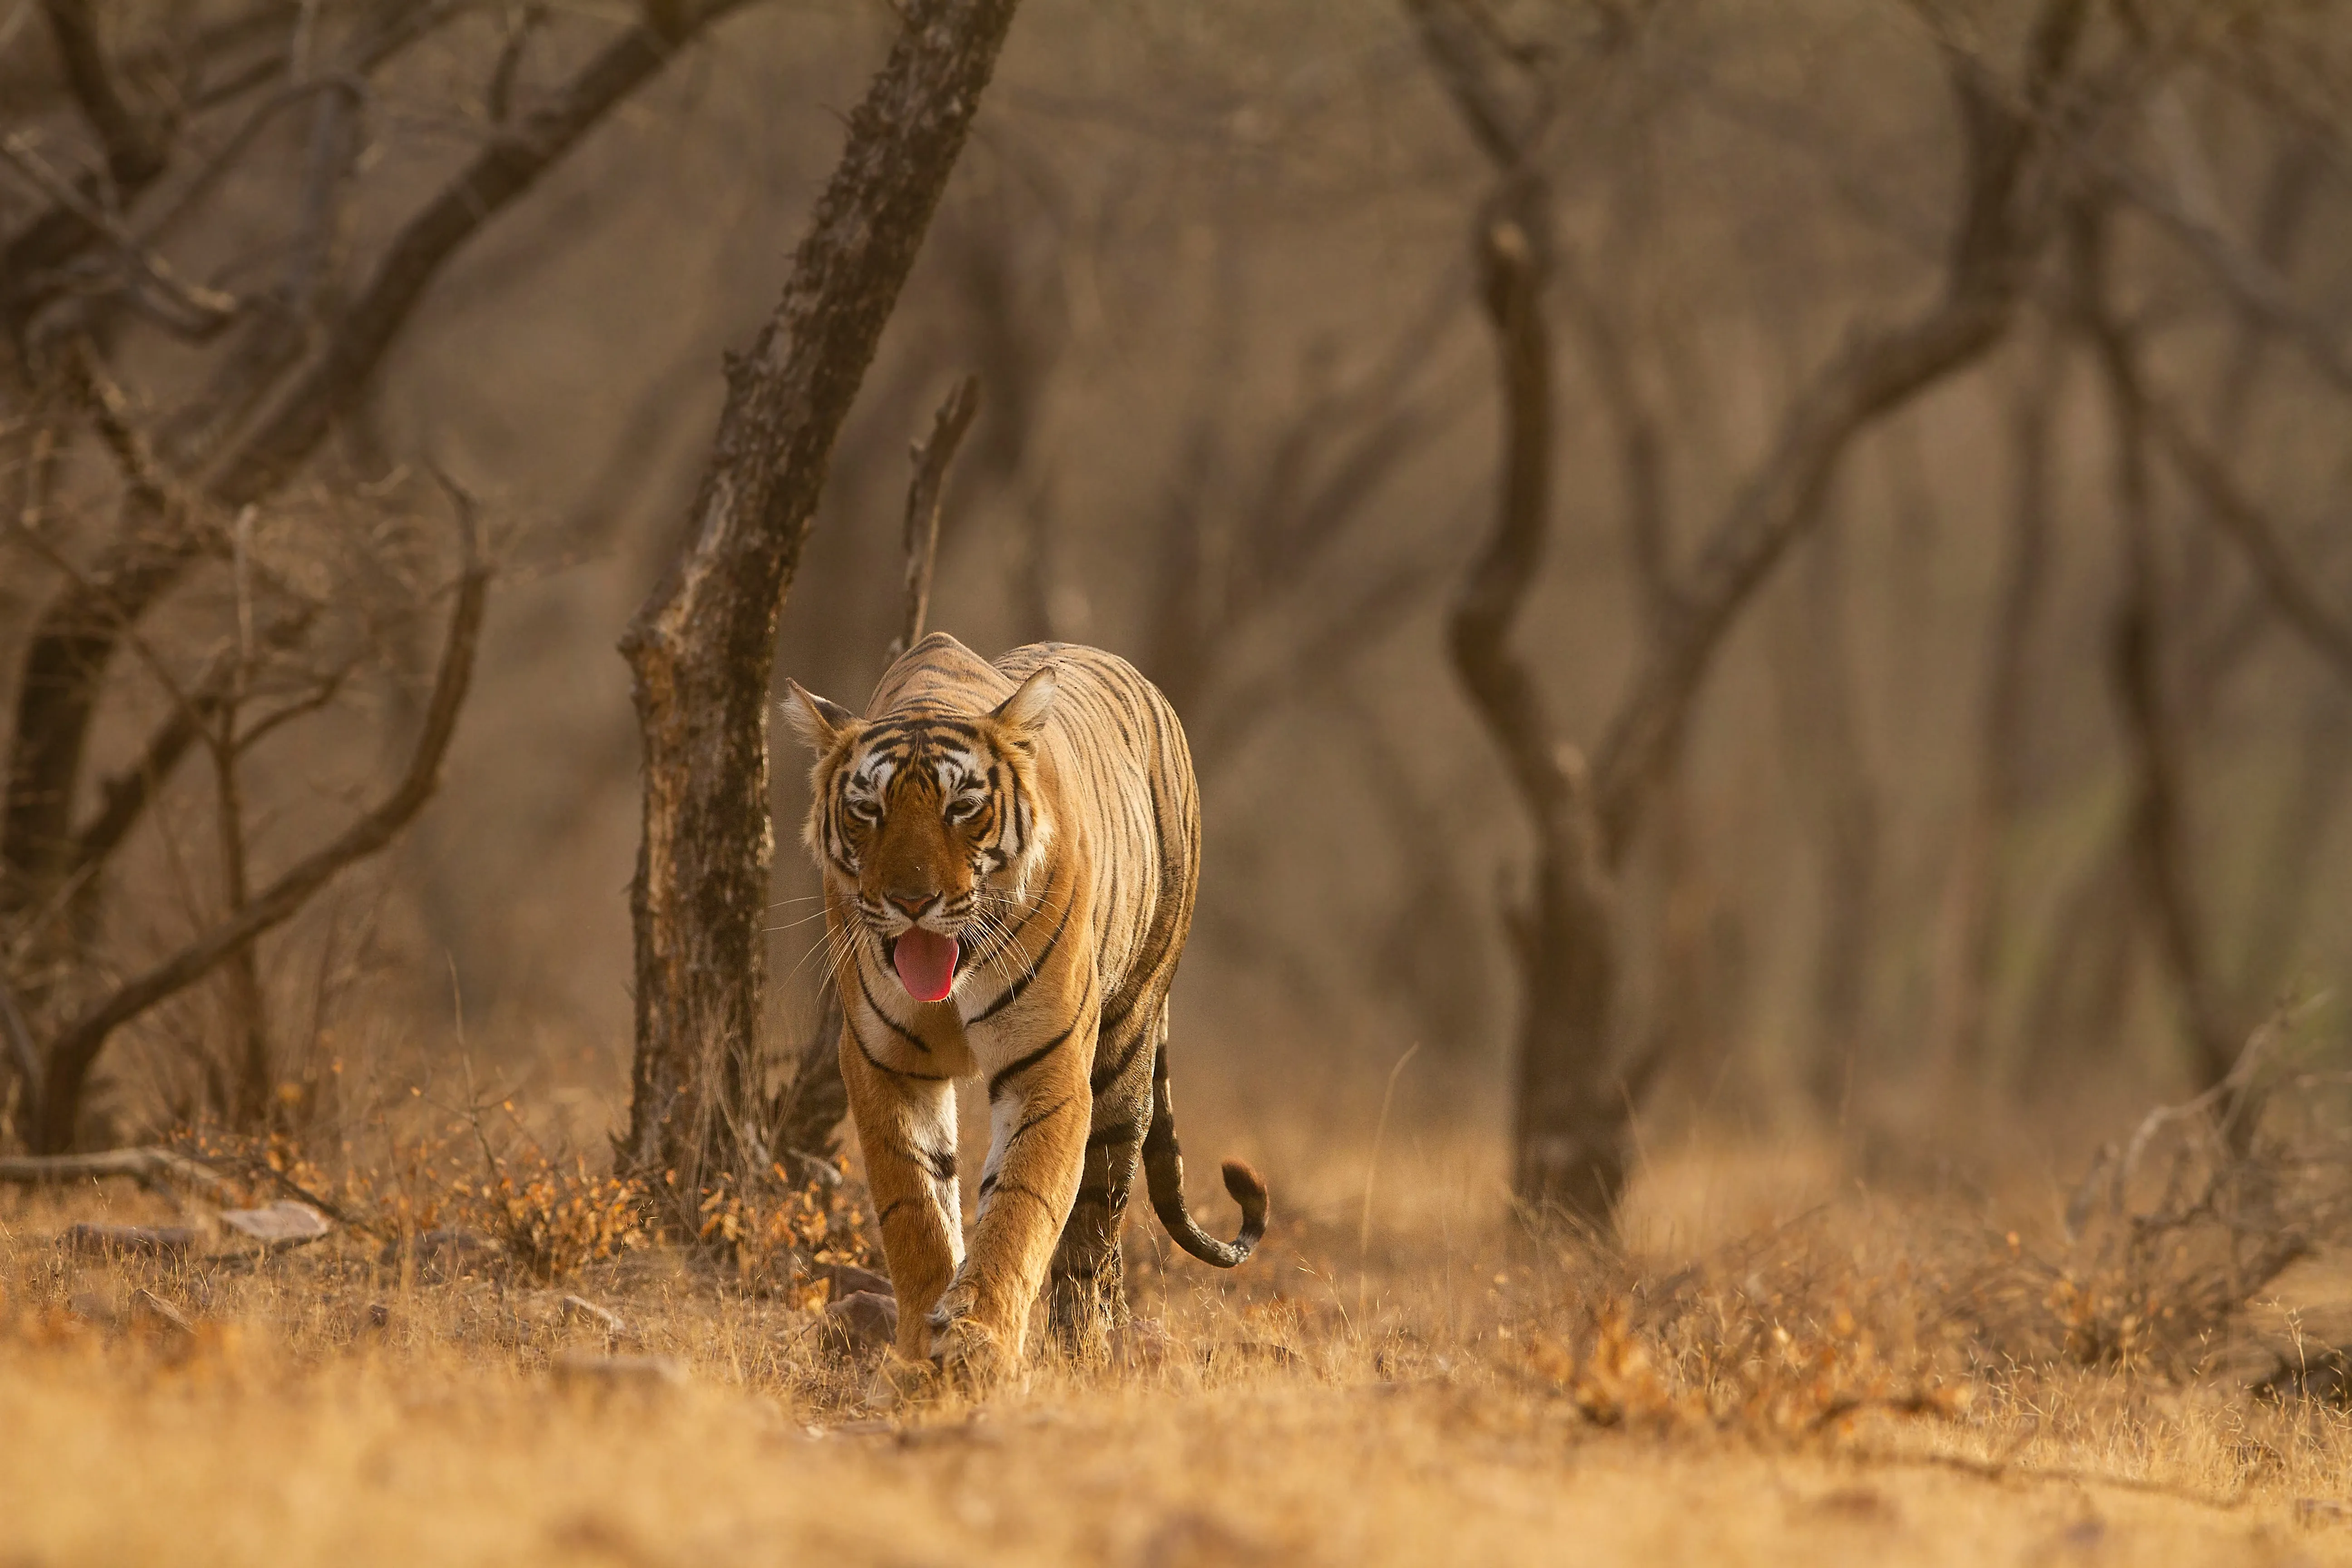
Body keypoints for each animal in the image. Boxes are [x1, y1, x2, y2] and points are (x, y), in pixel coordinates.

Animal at [783, 632, 1267, 1386]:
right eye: (868, 811)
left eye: (961, 808)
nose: (912, 902)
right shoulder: (884, 1062)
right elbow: (916, 1209)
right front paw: (924, 1350)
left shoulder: (1049, 1060)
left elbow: (1022, 1206)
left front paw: (979, 1340)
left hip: (1127, 1045)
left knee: (1098, 1220)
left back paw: (1087, 1348)